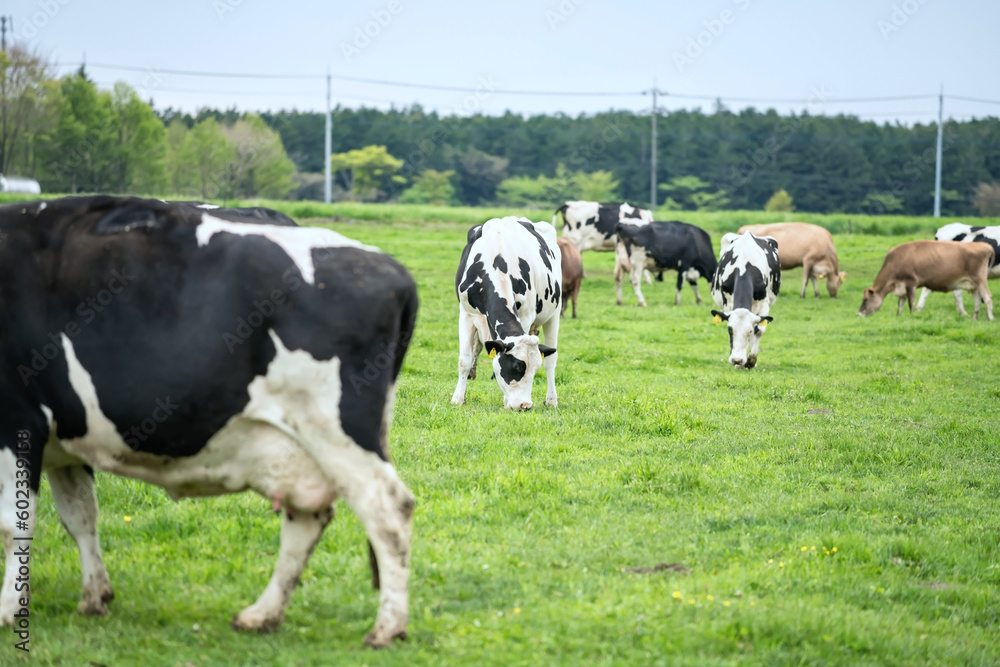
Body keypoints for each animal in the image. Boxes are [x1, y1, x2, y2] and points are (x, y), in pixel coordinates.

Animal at [0, 194, 418, 648]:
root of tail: (390, 269)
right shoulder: (65, 439)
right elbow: (79, 516)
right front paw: (95, 596)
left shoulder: (19, 420)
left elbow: (15, 524)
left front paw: (7, 610)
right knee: (309, 518)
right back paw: (262, 614)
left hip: (337, 430)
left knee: (388, 510)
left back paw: (387, 627)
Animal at [454, 217, 564, 410]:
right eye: (516, 367)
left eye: (534, 370)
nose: (524, 405)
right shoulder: (466, 313)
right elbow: (464, 360)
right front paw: (458, 399)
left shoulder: (526, 316)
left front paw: (506, 401)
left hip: (554, 315)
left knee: (551, 362)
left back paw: (551, 400)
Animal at [712, 234, 780, 370]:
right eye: (730, 329)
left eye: (749, 331)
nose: (737, 360)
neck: (744, 267)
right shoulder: (728, 304)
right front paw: (739, 364)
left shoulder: (764, 304)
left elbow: (759, 330)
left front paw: (751, 361)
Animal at [860, 241, 992, 322]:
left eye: (865, 300)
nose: (859, 314)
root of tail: (984, 245)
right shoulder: (902, 286)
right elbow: (900, 304)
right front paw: (899, 316)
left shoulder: (911, 283)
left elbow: (911, 303)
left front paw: (911, 316)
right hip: (973, 285)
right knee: (977, 301)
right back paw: (974, 318)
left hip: (980, 280)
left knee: (987, 297)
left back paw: (991, 318)